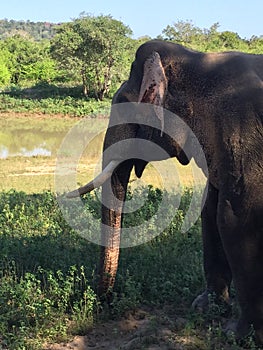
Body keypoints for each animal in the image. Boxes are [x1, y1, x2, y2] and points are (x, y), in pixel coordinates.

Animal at [67, 39, 263, 344]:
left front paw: (238, 335)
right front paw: (205, 308)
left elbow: (235, 218)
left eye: (123, 104)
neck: (196, 60)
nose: (105, 303)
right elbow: (211, 209)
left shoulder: (243, 133)